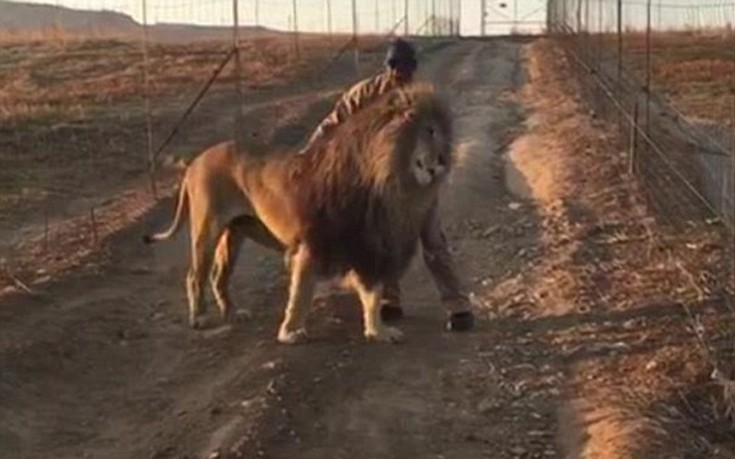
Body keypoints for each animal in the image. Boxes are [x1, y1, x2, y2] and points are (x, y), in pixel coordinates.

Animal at [142, 83, 454, 344]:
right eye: (430, 130)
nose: (442, 161)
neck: (389, 182)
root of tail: (195, 162)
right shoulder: (313, 242)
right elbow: (301, 292)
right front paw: (290, 332)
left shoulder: (367, 245)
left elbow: (372, 295)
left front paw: (378, 331)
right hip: (207, 228)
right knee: (195, 275)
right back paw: (200, 317)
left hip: (235, 232)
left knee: (219, 275)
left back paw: (233, 312)